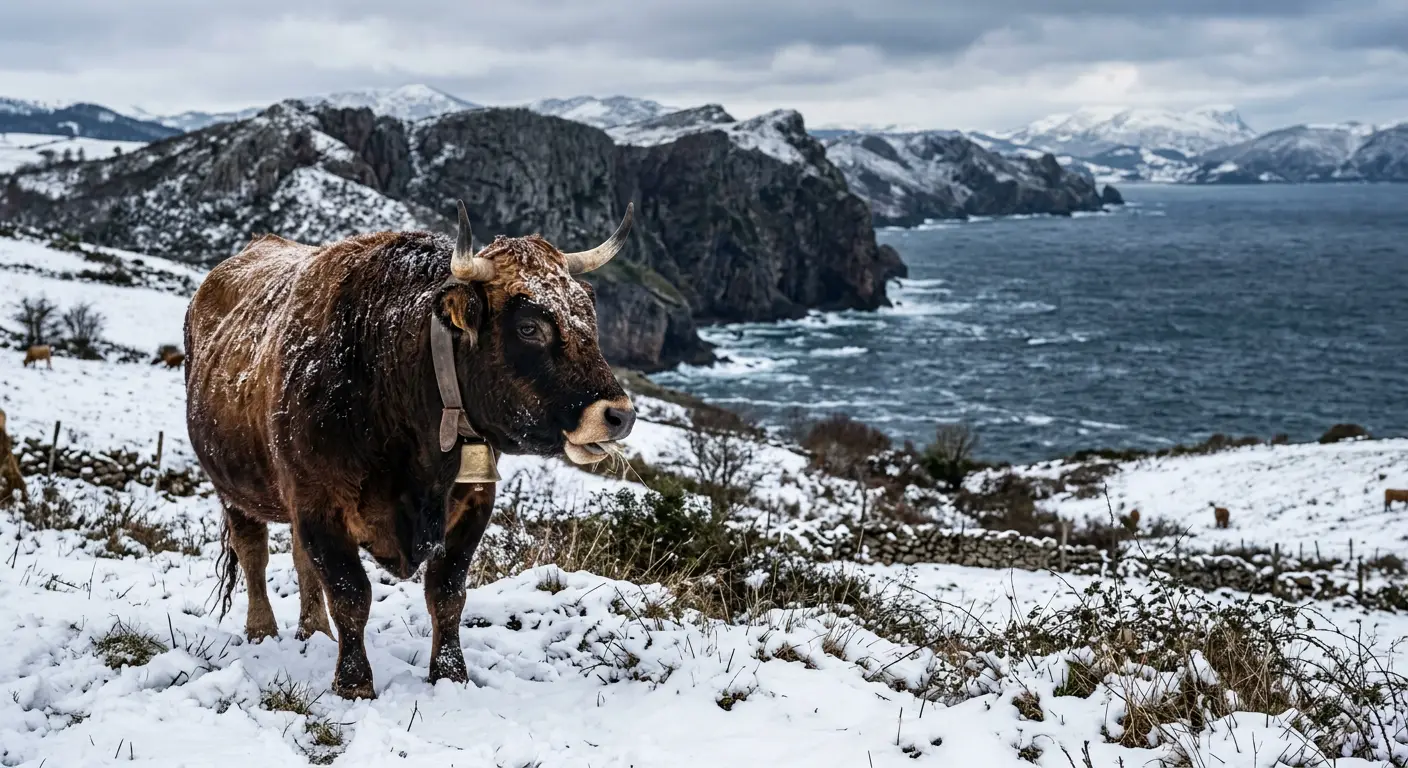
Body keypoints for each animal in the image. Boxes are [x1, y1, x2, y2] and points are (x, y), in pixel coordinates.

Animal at [185, 201, 637, 699]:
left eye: (588, 319)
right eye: (529, 326)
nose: (619, 414)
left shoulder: (473, 503)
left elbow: (447, 593)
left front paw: (451, 674)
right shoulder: (318, 501)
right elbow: (350, 592)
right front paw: (354, 683)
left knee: (301, 561)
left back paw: (314, 631)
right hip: (234, 485)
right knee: (254, 552)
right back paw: (262, 631)